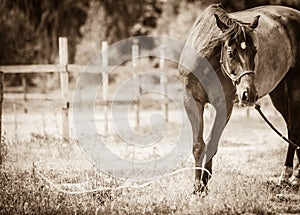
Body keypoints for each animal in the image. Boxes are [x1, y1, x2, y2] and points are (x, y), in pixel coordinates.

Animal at [178, 4, 300, 194]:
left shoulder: (224, 105)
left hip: (294, 87)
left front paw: (204, 184)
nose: (248, 94)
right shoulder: (192, 101)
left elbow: (212, 143)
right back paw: (296, 176)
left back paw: (286, 176)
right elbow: (198, 145)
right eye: (230, 52)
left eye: (255, 51)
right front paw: (197, 187)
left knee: (293, 129)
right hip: (278, 93)